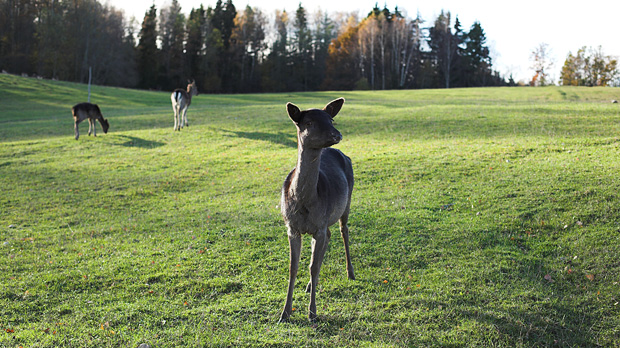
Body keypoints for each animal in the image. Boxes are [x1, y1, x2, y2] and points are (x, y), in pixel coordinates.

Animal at [280, 98, 356, 324]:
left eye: (331, 119)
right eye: (309, 122)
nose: (336, 134)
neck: (304, 202)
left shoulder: (319, 227)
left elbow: (312, 267)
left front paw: (312, 313)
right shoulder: (292, 228)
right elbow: (293, 267)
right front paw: (284, 313)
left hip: (347, 202)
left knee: (343, 231)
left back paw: (350, 273)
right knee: (329, 236)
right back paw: (308, 286)